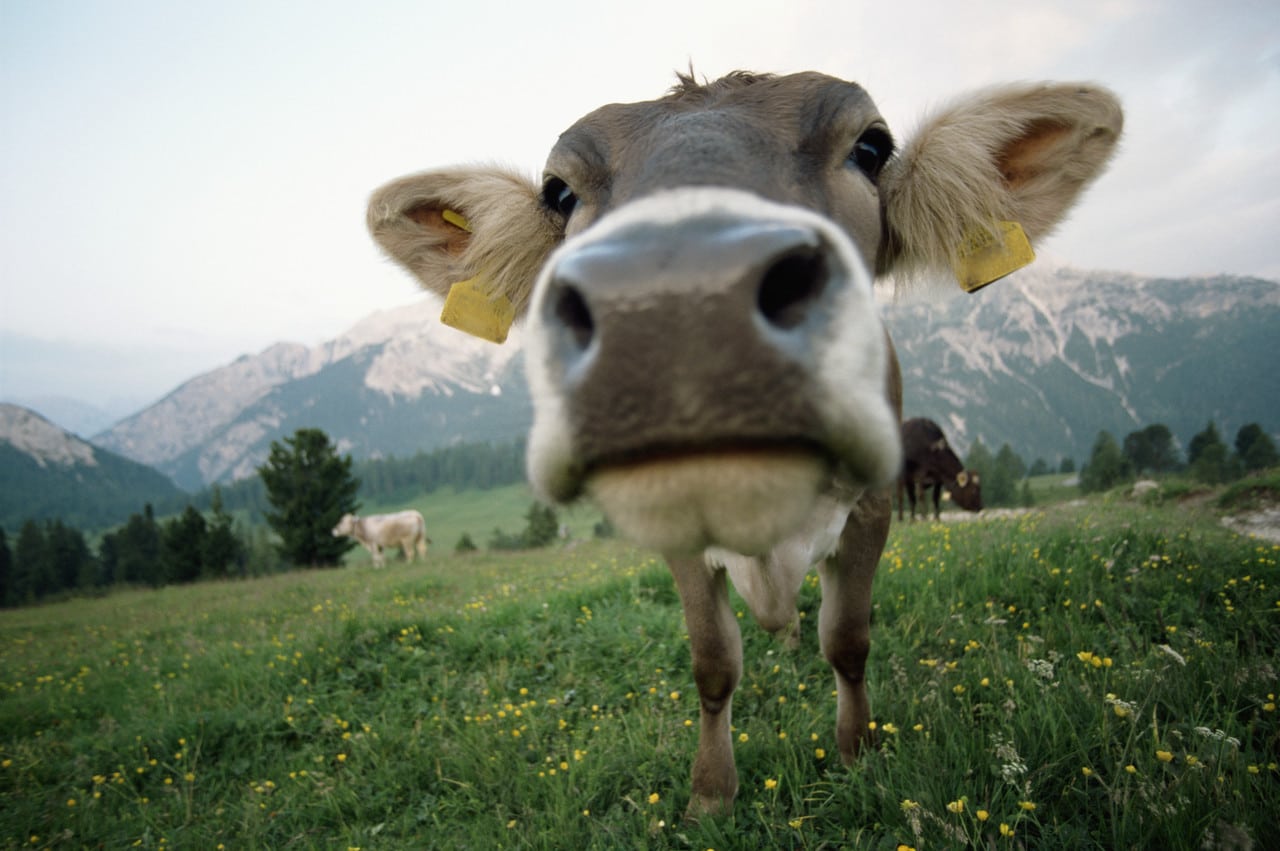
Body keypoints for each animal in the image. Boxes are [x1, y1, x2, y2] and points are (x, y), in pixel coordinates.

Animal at [363, 69, 1121, 813]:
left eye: (871, 148)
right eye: (559, 193)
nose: (676, 300)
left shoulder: (875, 504)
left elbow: (848, 639)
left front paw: (858, 754)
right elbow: (713, 662)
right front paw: (710, 793)